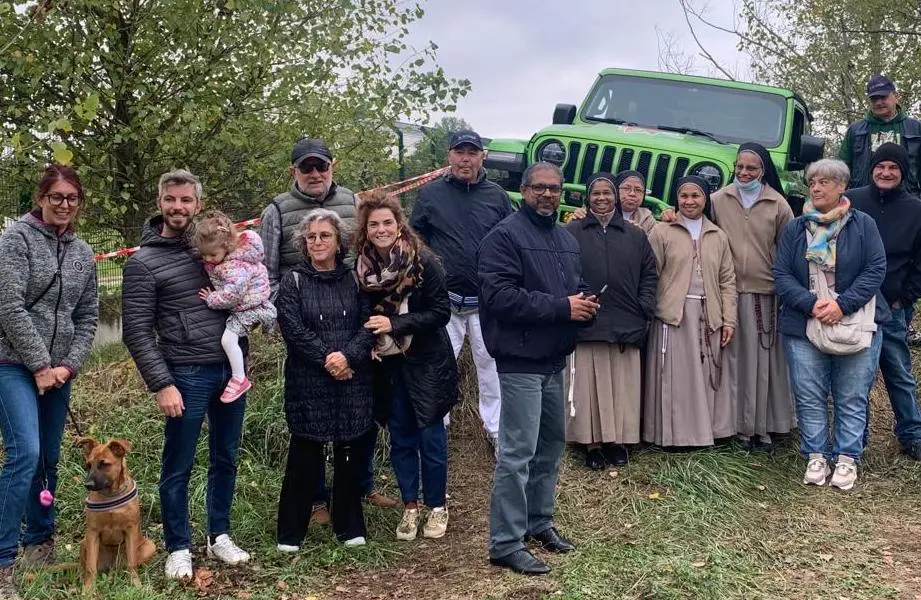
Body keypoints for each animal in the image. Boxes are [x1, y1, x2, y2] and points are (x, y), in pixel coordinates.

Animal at [77, 436, 155, 592]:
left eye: (104, 464)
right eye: (88, 465)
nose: (88, 485)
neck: (110, 494)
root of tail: (113, 565)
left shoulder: (131, 530)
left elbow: (132, 563)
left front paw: (136, 585)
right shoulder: (92, 532)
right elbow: (91, 567)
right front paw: (88, 590)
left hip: (150, 546)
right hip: (84, 543)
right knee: (86, 567)